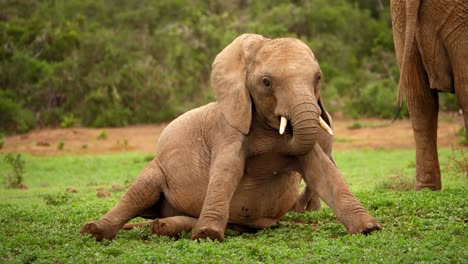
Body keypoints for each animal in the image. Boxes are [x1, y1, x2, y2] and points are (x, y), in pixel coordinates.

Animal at [79, 33, 380, 241]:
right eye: (266, 82)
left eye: (318, 78)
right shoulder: (227, 129)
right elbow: (227, 171)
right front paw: (208, 236)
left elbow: (323, 171)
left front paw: (369, 229)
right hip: (158, 166)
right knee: (139, 192)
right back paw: (94, 231)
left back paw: (164, 226)